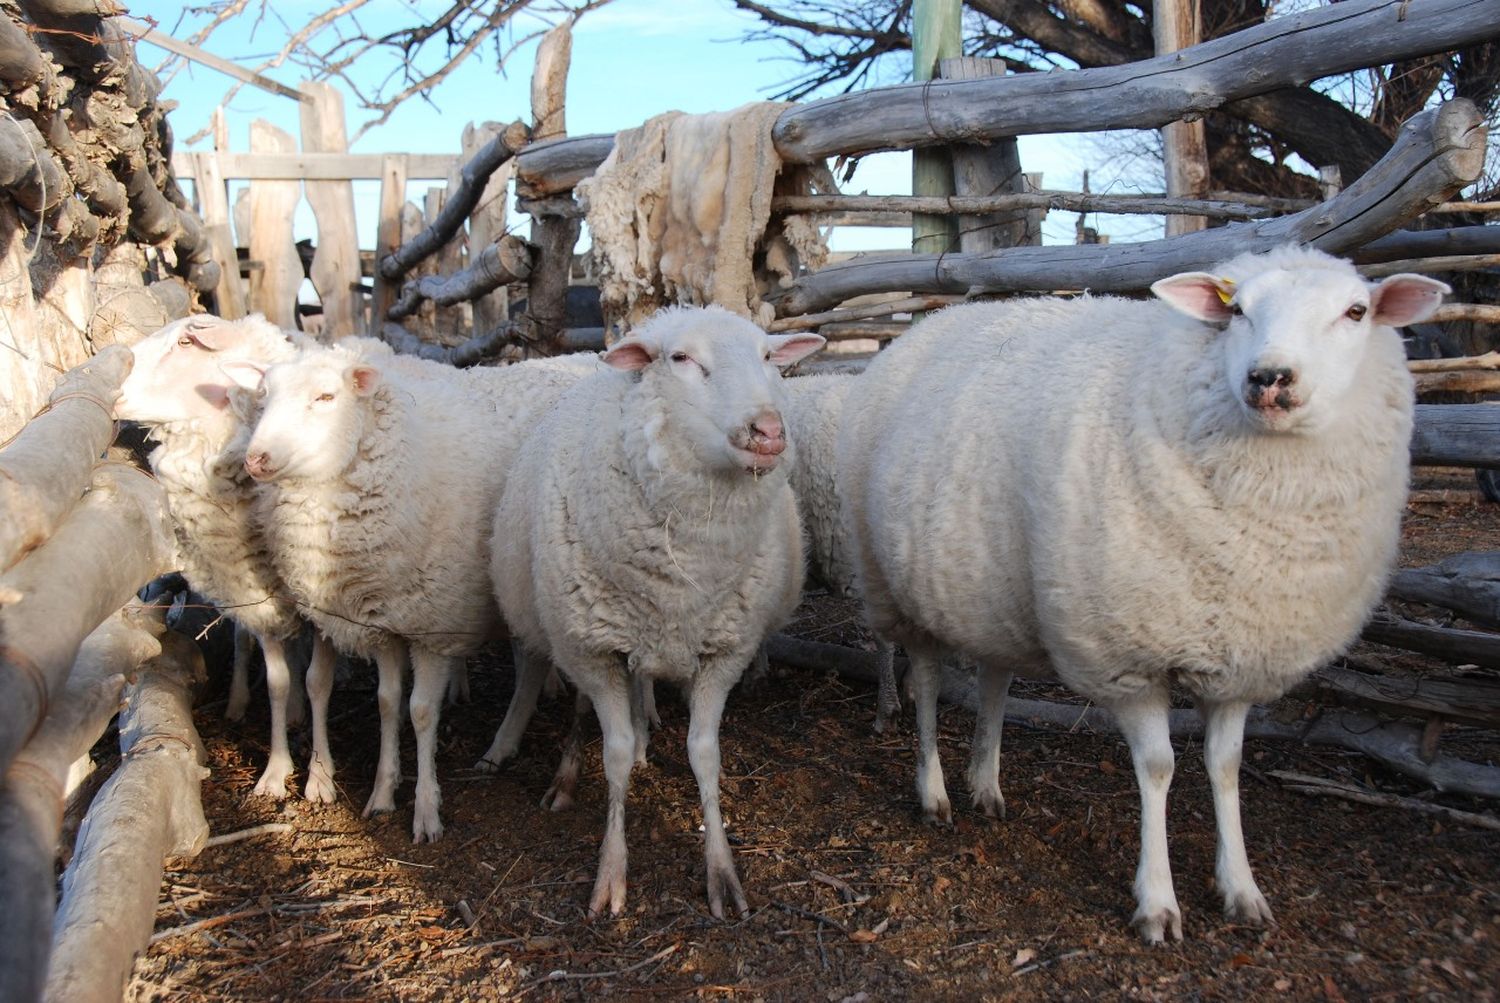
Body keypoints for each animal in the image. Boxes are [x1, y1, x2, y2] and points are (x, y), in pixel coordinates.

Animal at [117, 313, 340, 797]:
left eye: (186, 342)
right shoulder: (260, 594)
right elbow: (277, 683)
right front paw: (276, 770)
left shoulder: (322, 606)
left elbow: (318, 681)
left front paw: (320, 775)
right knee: (244, 641)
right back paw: (245, 701)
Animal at [228, 340, 597, 839]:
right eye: (263, 397)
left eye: (326, 397)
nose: (256, 459)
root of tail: (592, 355)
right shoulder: (383, 619)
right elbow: (387, 703)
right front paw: (384, 792)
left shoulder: (434, 624)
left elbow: (422, 711)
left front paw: (426, 810)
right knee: (533, 666)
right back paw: (500, 748)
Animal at [489, 305, 822, 917]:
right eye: (681, 358)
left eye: (768, 356)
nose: (768, 432)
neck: (686, 566)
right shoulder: (594, 650)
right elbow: (614, 755)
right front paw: (611, 874)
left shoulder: (724, 650)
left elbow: (704, 755)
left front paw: (721, 872)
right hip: (575, 632)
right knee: (583, 710)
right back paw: (569, 776)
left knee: (643, 681)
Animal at [840, 244, 1446, 941]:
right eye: (1237, 310)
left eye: (1355, 311)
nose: (1270, 377)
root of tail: (925, 325)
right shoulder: (1125, 659)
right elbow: (1158, 768)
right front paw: (1157, 901)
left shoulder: (1240, 656)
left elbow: (1225, 767)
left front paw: (1241, 888)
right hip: (896, 588)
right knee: (929, 684)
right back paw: (934, 791)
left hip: (996, 598)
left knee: (994, 682)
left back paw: (986, 785)